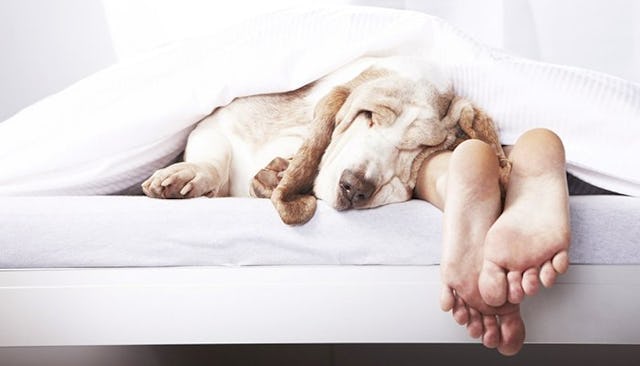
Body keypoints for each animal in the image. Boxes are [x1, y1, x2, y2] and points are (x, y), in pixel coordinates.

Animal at [141, 56, 510, 224]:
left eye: (421, 148)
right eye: (367, 115)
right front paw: (187, 176)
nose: (355, 187)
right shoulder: (218, 121)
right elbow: (214, 155)